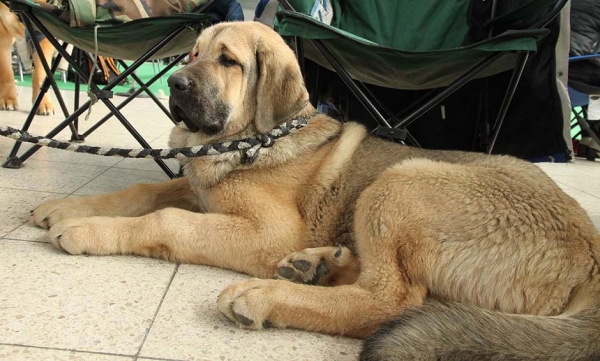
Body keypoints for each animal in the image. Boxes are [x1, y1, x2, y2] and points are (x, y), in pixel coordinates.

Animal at [30, 21, 600, 358]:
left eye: (228, 61)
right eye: (190, 54)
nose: (174, 84)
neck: (252, 140)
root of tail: (591, 254)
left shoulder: (268, 232)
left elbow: (166, 220)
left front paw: (85, 229)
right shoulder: (200, 193)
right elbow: (143, 192)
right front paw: (64, 207)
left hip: (402, 181)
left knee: (388, 300)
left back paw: (267, 294)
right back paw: (315, 266)